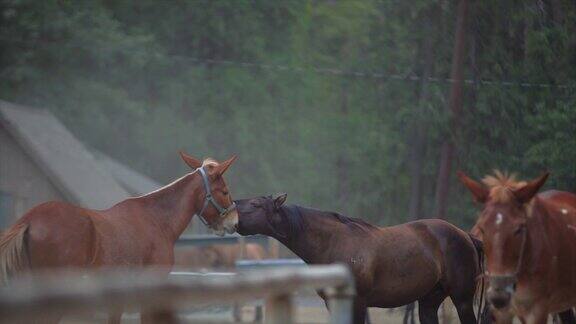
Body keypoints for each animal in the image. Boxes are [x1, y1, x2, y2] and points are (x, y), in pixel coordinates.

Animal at [236, 194, 484, 322]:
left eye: (256, 204)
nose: (232, 206)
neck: (334, 242)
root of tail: (466, 235)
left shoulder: (357, 303)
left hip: (462, 300)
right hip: (428, 302)